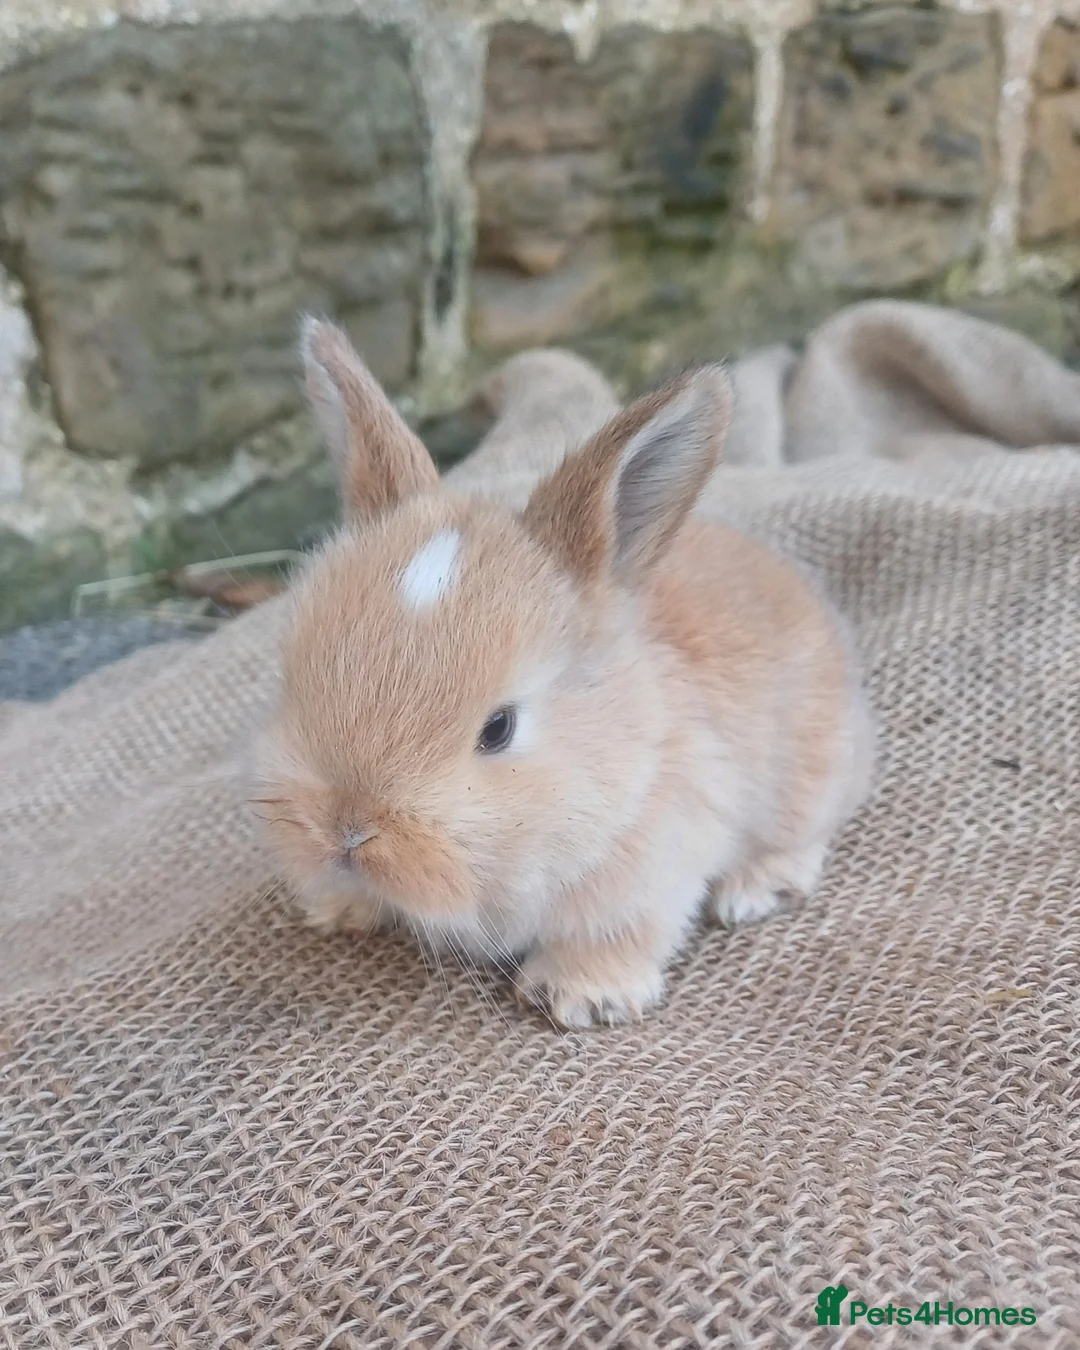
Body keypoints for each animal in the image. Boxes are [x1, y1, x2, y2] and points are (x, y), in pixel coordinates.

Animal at [252, 319, 874, 1029]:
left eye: (498, 729)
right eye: (294, 679)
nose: (347, 832)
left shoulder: (643, 882)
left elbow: (616, 936)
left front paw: (582, 997)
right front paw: (338, 908)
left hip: (807, 788)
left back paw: (750, 892)